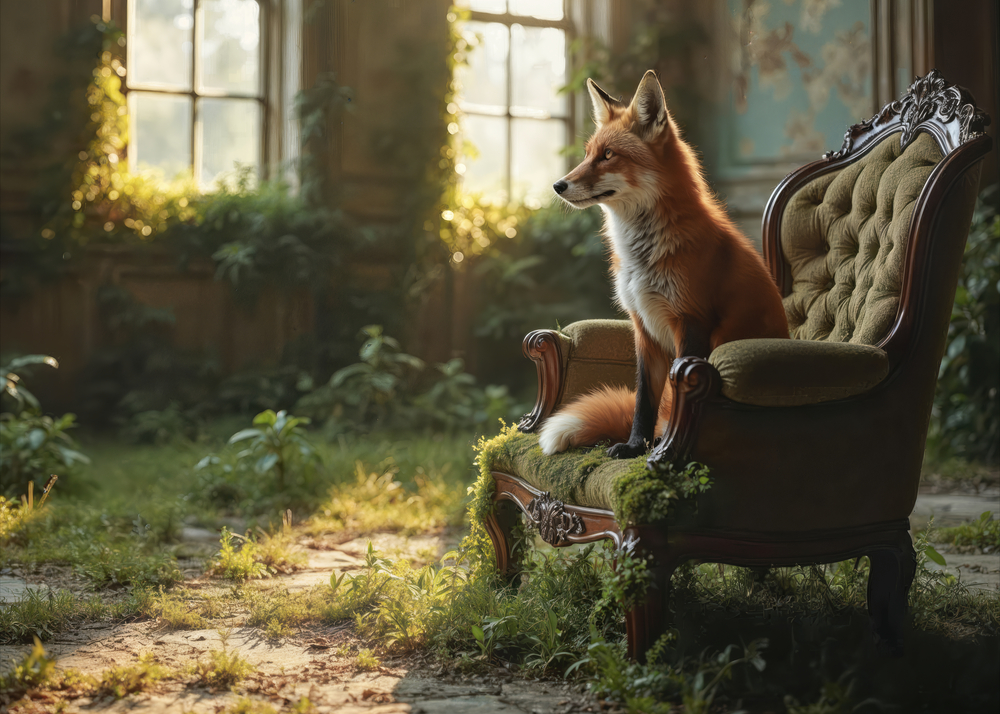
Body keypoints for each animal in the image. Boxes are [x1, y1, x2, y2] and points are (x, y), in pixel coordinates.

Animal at [539, 70, 789, 458]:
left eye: (608, 155)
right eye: (588, 154)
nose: (558, 185)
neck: (642, 255)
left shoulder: (691, 321)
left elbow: (671, 393)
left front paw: (660, 447)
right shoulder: (644, 327)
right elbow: (644, 401)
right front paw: (634, 446)